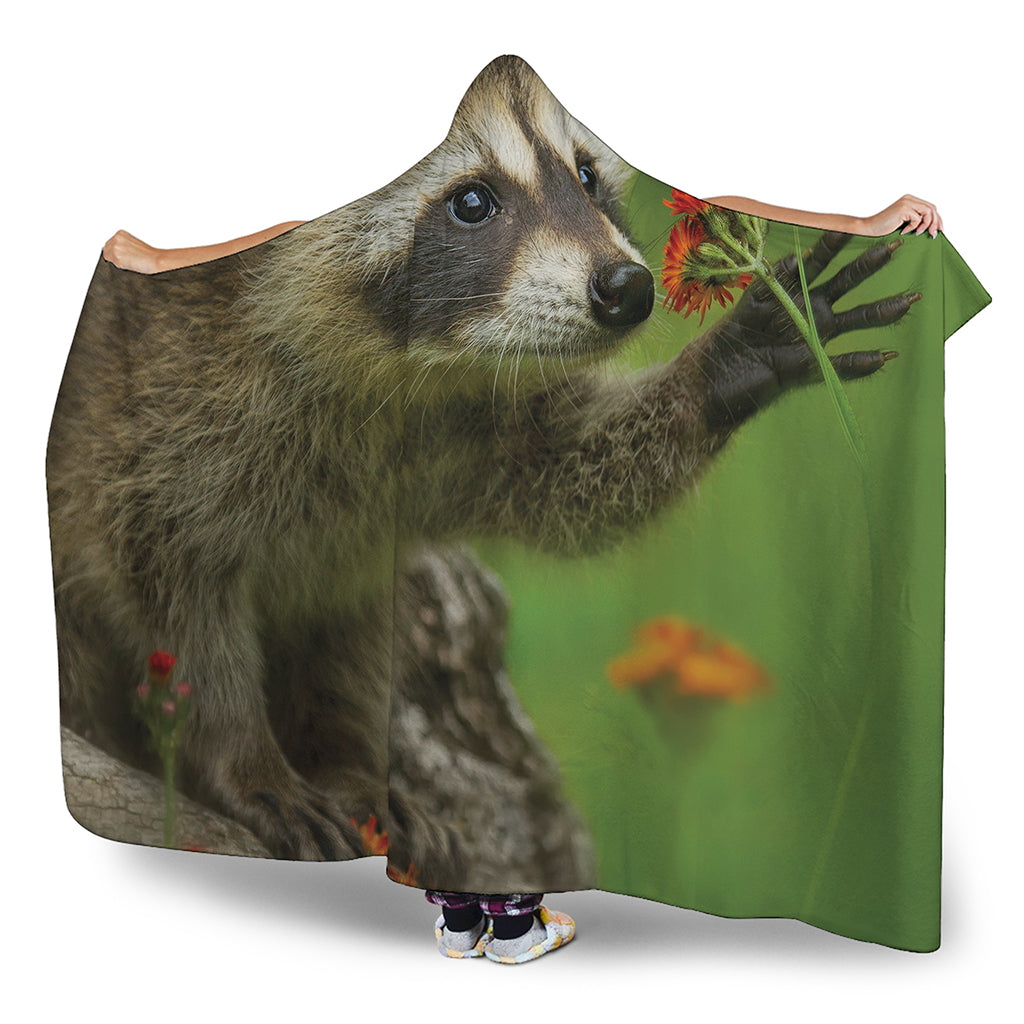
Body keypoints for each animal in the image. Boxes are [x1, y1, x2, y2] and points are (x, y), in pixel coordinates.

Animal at [47, 55, 915, 865]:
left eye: (586, 176)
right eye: (471, 202)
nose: (628, 288)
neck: (386, 376)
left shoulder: (450, 431)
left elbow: (564, 477)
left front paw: (721, 366)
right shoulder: (146, 423)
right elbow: (178, 605)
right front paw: (243, 760)